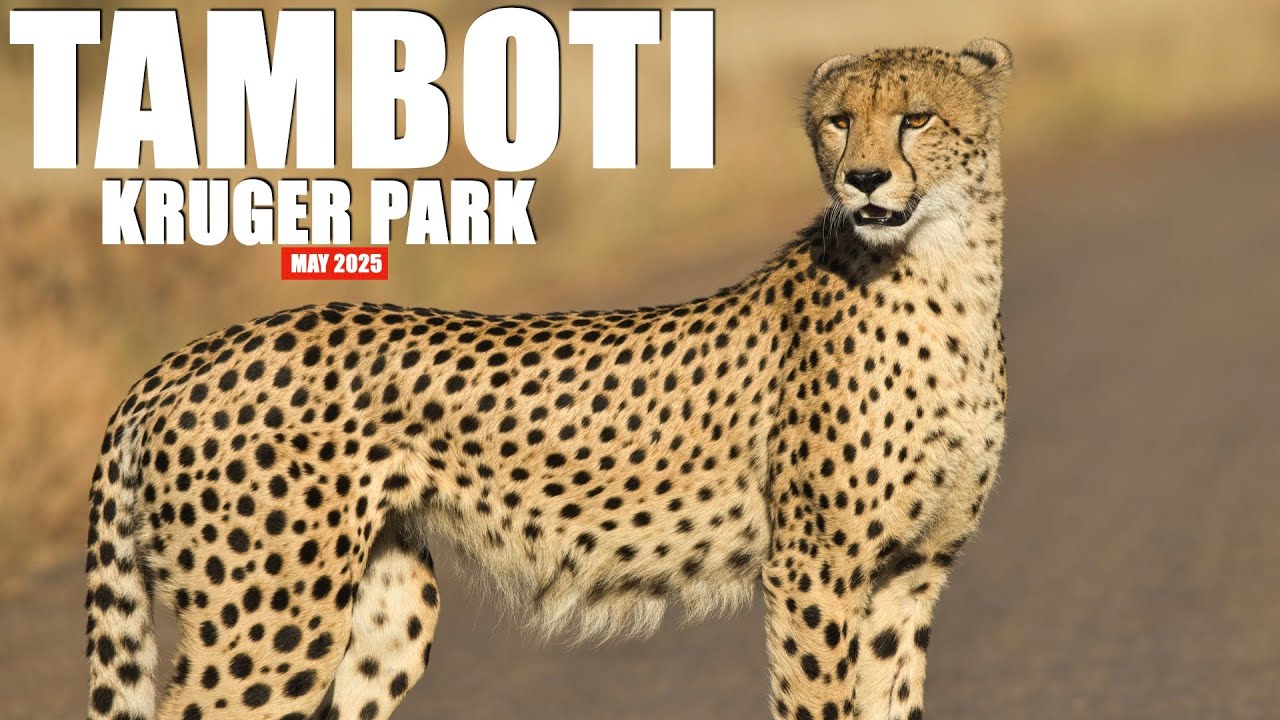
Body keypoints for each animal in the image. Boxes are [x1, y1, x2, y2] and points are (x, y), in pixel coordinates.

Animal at [84, 38, 1012, 720]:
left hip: (387, 607)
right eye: (837, 122)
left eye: (917, 118)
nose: (864, 178)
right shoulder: (815, 568)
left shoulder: (909, 572)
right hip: (270, 620)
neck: (942, 270)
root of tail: (186, 357)